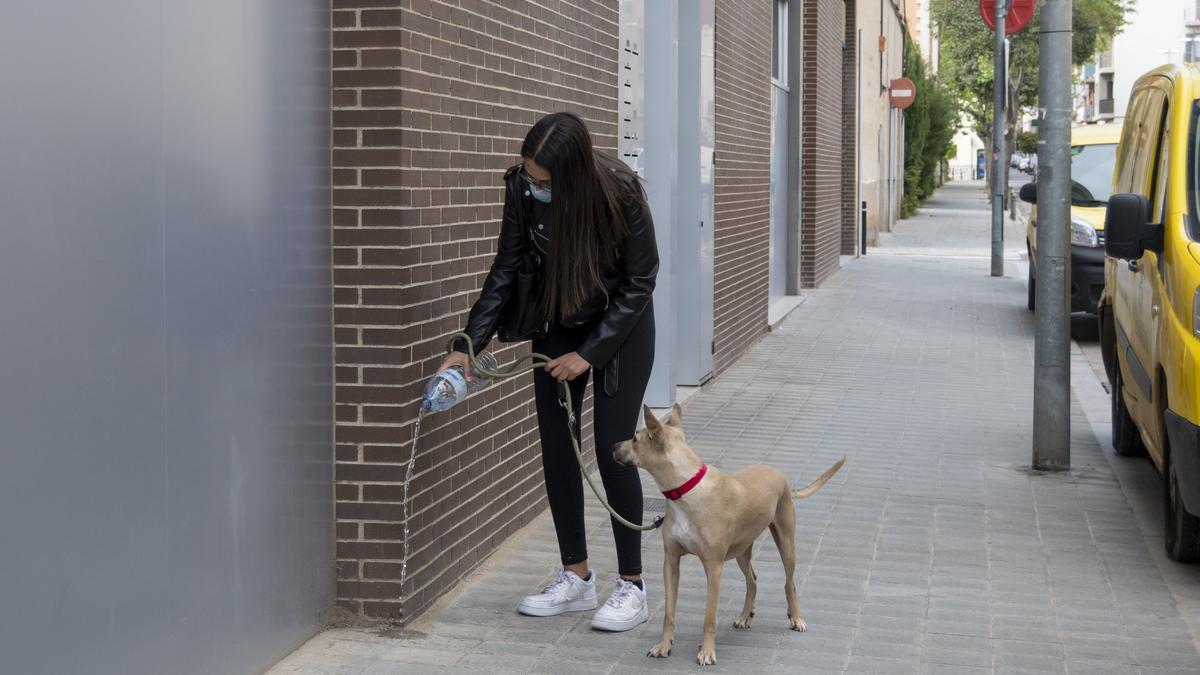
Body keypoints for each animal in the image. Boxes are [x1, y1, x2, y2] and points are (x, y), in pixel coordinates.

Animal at [619, 401, 844, 662]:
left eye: (635, 438)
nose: (613, 448)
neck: (686, 489)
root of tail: (779, 474)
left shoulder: (714, 568)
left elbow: (709, 617)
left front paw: (707, 652)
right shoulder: (671, 563)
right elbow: (669, 612)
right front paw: (664, 645)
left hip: (786, 544)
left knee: (790, 584)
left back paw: (796, 617)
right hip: (742, 551)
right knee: (752, 581)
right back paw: (746, 616)